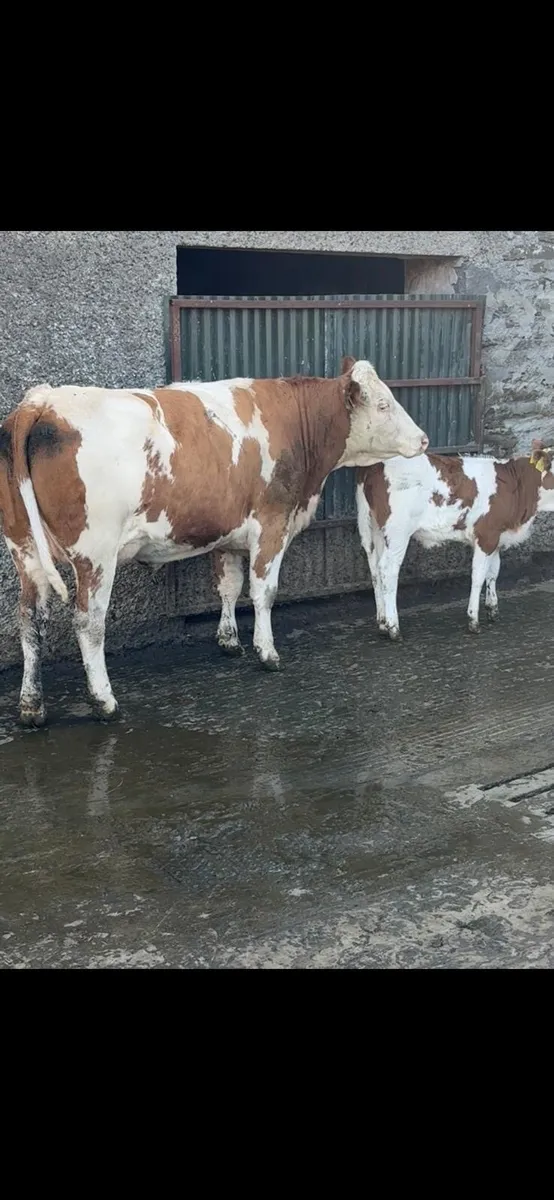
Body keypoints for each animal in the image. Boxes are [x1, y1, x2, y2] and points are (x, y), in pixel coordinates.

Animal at [0, 359, 428, 726]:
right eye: (384, 404)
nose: (423, 439)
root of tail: (42, 401)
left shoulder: (229, 534)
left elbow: (229, 587)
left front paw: (229, 641)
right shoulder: (272, 523)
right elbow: (263, 591)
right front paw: (266, 652)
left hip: (26, 551)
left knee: (30, 619)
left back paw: (31, 707)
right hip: (95, 554)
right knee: (89, 622)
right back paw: (105, 702)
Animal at [356, 439, 554, 642]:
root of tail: (375, 464)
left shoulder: (496, 537)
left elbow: (493, 572)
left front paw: (492, 609)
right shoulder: (486, 535)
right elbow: (478, 576)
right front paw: (473, 620)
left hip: (376, 529)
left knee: (375, 570)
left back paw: (382, 623)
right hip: (397, 532)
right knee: (388, 570)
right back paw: (393, 627)